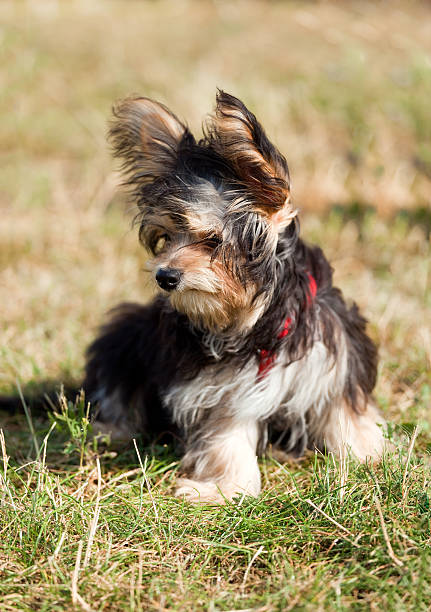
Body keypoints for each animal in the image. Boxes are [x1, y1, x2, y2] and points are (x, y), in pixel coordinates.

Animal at [83, 89, 384, 502]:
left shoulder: (332, 352)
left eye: (212, 240)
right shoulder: (217, 389)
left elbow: (344, 411)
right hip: (126, 334)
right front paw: (224, 488)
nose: (165, 276)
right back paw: (109, 431)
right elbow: (226, 435)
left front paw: (368, 457)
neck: (261, 325)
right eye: (167, 237)